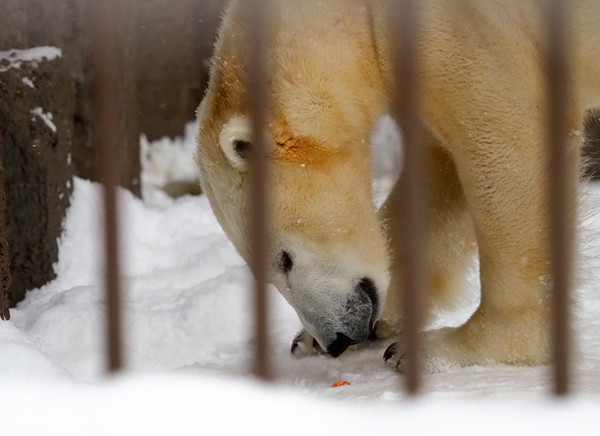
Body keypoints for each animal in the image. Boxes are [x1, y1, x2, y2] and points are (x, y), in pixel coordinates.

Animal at [198, 0, 600, 372]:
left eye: (284, 258)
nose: (337, 340)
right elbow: (438, 175)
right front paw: (314, 339)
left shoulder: (473, 25)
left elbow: (506, 140)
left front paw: (456, 347)